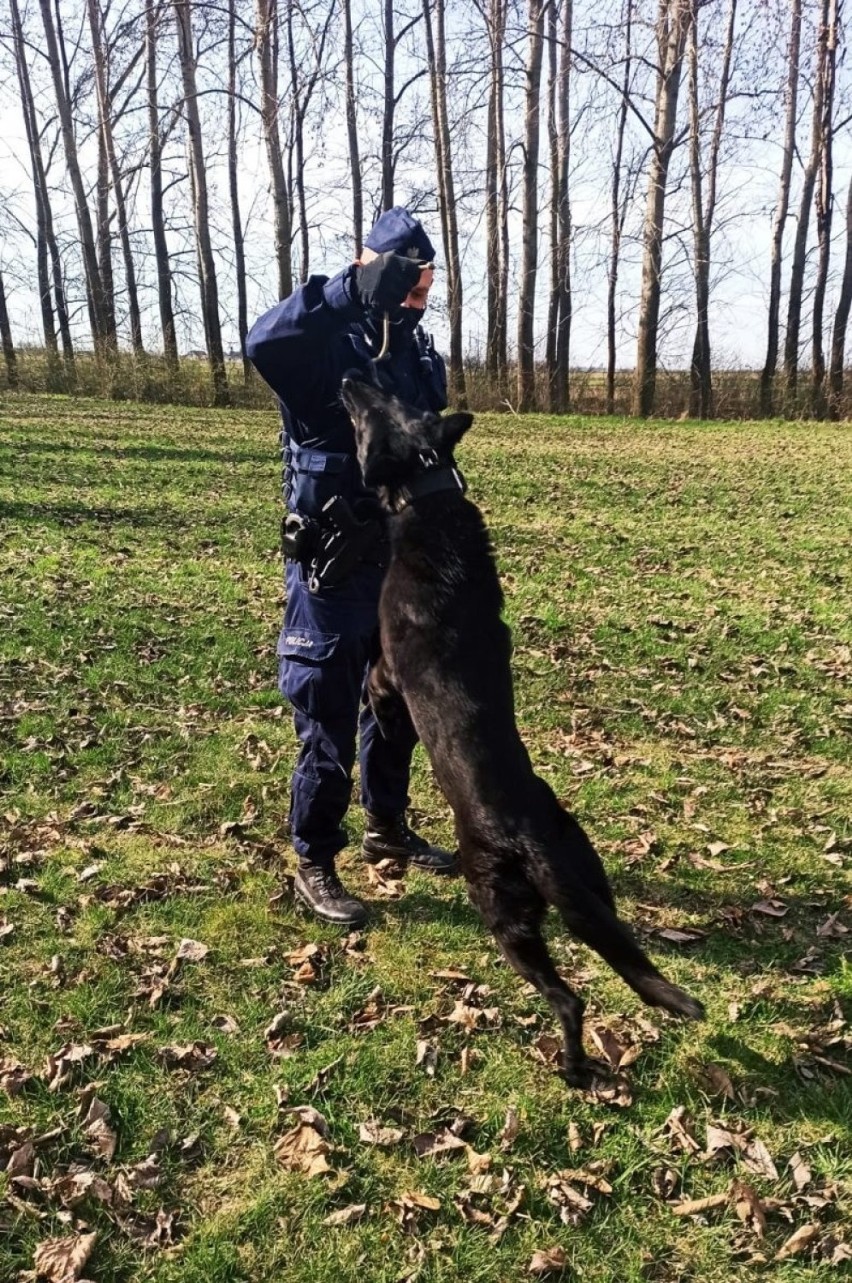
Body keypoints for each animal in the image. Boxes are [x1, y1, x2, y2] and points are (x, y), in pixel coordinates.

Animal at [338, 377, 703, 1082]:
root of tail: (528, 839)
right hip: (592, 885)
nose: (349, 377)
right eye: (391, 393)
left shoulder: (386, 672)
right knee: (621, 956)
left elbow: (374, 684)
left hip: (503, 916)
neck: (429, 498)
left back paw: (574, 1067)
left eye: (373, 410)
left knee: (568, 997)